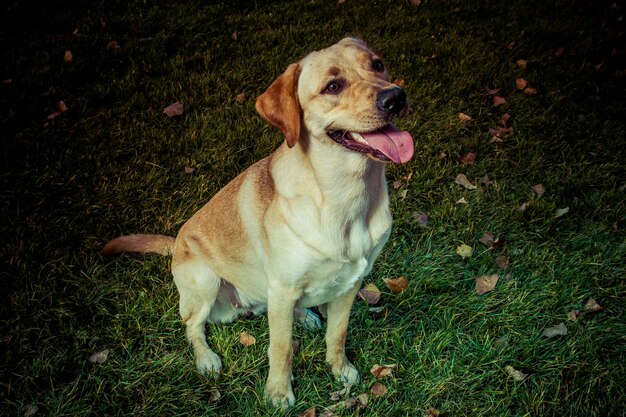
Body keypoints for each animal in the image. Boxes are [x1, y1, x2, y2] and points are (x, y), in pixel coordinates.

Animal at [103, 37, 412, 404]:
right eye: (333, 86)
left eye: (377, 65)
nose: (395, 97)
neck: (346, 196)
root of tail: (176, 243)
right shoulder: (283, 287)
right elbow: (281, 349)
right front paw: (279, 392)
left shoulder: (350, 283)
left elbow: (337, 335)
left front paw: (340, 371)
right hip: (206, 280)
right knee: (193, 326)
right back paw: (206, 358)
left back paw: (304, 315)